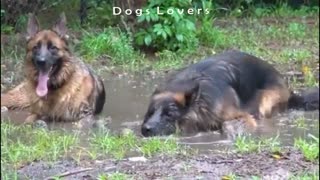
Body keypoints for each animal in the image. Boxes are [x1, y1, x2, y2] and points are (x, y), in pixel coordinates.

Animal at [141, 50, 318, 137]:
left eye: (169, 114)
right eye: (150, 113)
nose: (145, 129)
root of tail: (290, 92)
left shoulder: (241, 114)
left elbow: (231, 124)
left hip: (266, 98)